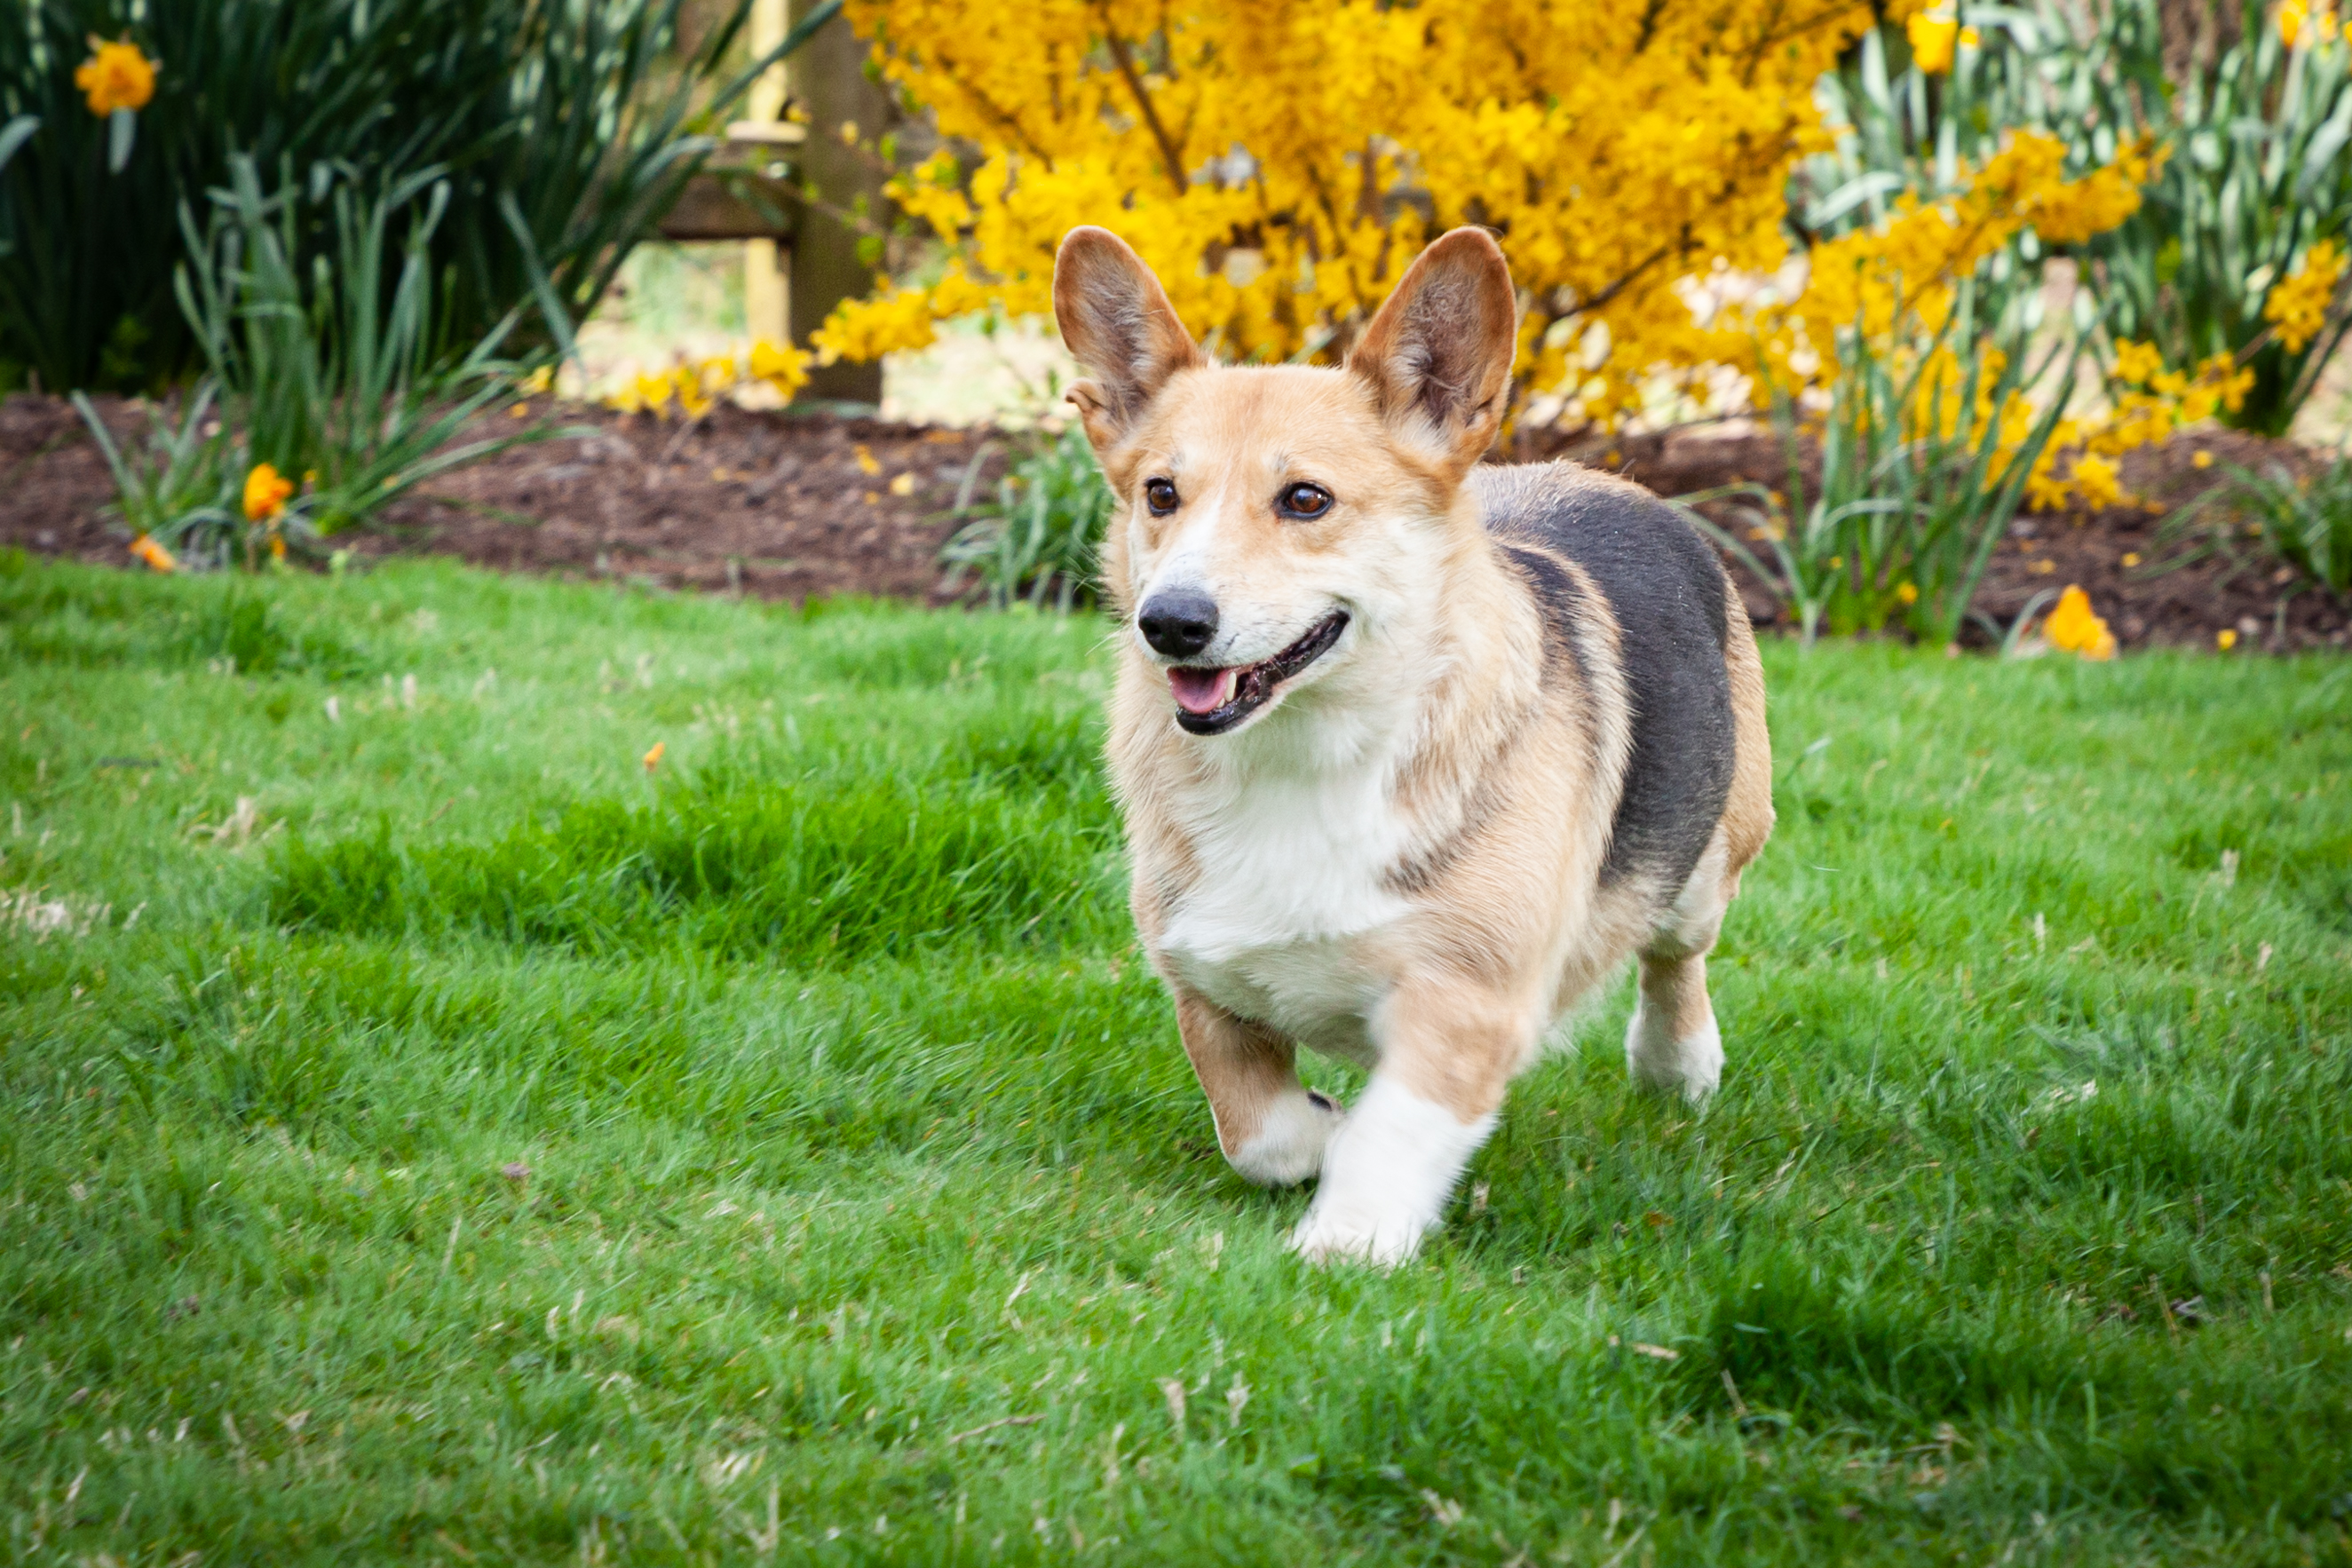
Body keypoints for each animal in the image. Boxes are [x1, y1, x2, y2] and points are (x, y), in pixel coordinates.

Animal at [1058, 226, 1769, 1269]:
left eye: (1305, 499)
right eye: (1160, 493)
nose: (1171, 623)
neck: (1303, 755)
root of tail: (1612, 480)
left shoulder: (1464, 997)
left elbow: (1392, 1133)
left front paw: (1346, 1239)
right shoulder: (1203, 977)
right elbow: (1259, 1129)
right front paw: (1320, 1128)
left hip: (1705, 858)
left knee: (1676, 956)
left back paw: (1676, 1065)